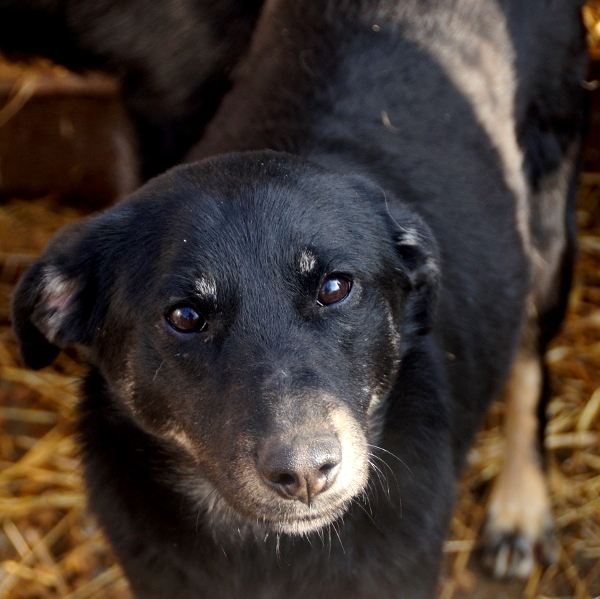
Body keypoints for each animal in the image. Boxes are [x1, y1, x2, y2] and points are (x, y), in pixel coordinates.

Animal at [11, 0, 588, 596]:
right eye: (184, 317)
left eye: (335, 288)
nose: (307, 471)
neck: (266, 549)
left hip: (548, 233)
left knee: (529, 364)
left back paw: (520, 508)